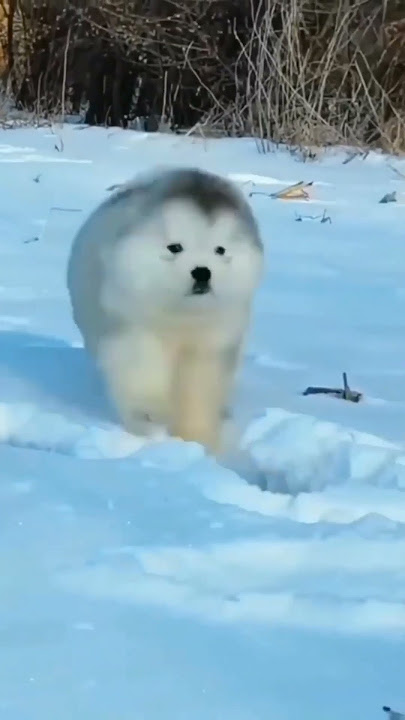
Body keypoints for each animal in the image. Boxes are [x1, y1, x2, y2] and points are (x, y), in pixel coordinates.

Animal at [66, 166, 264, 452]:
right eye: (175, 247)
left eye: (220, 249)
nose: (202, 272)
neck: (180, 317)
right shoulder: (134, 331)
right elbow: (141, 375)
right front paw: (152, 419)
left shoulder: (214, 343)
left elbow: (202, 390)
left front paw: (198, 437)